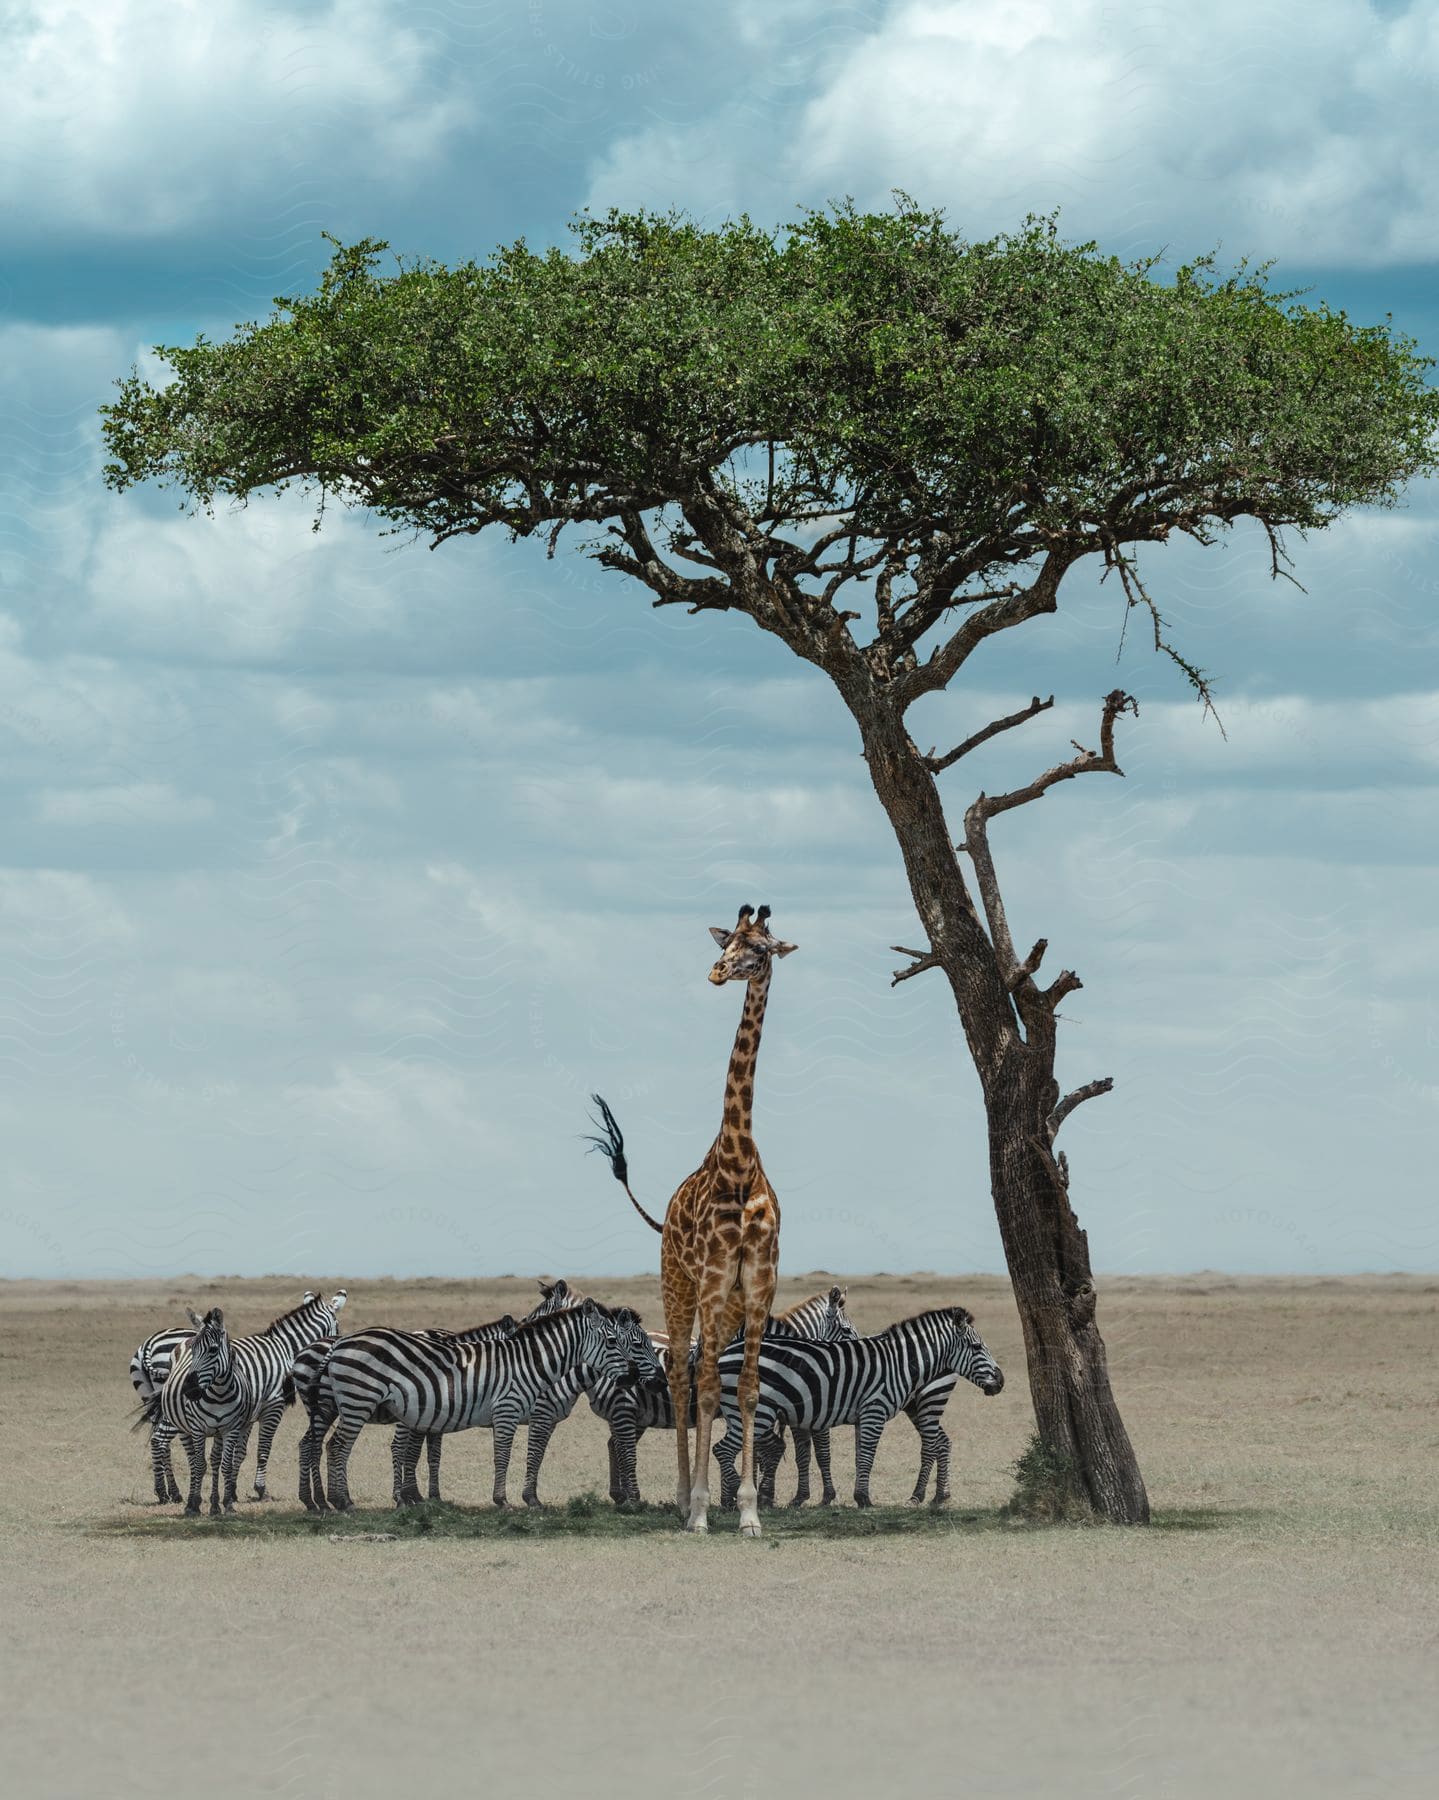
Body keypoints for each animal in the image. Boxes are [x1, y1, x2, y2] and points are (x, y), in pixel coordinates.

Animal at [144, 1288, 349, 1512]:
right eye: (338, 1325)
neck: (284, 1348)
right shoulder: (273, 1407)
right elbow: (263, 1449)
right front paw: (260, 1489)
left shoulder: (246, 1416)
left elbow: (238, 1453)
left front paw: (232, 1491)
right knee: (159, 1440)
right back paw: (167, 1493)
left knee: (165, 1441)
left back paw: (171, 1492)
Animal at [320, 1303, 648, 1512]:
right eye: (612, 1341)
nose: (634, 1377)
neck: (528, 1363)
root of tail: (341, 1342)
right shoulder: (508, 1410)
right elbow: (504, 1457)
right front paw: (504, 1501)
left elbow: (514, 1456)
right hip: (358, 1401)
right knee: (339, 1447)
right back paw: (343, 1501)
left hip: (356, 1403)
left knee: (333, 1446)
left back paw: (341, 1500)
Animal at [713, 1310, 1008, 1504]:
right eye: (977, 1346)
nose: (1001, 1381)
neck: (899, 1363)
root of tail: (727, 1352)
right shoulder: (872, 1411)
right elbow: (865, 1455)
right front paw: (863, 1498)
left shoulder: (853, 1414)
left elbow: (855, 1456)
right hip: (752, 1413)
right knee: (722, 1449)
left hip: (926, 1405)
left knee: (938, 1443)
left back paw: (935, 1496)